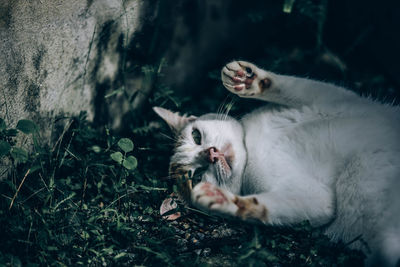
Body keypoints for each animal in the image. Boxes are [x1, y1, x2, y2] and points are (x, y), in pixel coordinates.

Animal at [153, 60, 400, 267]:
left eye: (196, 136)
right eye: (196, 176)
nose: (211, 154)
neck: (252, 146)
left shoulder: (335, 100)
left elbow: (296, 86)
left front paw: (247, 80)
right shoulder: (315, 199)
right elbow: (266, 207)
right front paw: (222, 199)